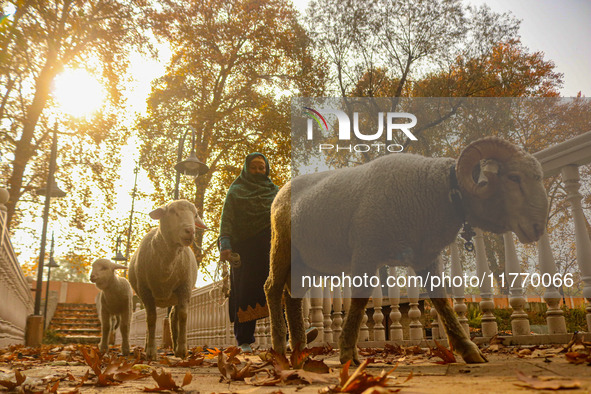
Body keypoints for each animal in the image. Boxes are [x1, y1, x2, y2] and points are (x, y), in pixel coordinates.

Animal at [128, 200, 207, 360]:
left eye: (195, 215)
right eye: (172, 212)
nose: (190, 231)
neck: (167, 267)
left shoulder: (184, 288)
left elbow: (183, 316)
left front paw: (182, 349)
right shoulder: (146, 291)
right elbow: (151, 319)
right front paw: (151, 351)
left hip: (175, 296)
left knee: (173, 316)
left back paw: (176, 347)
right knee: (150, 319)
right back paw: (147, 346)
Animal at [266, 137, 548, 364]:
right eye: (513, 177)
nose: (538, 227)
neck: (436, 191)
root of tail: (282, 191)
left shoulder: (427, 257)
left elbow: (441, 300)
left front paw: (468, 349)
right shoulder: (366, 249)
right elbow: (359, 300)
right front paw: (347, 353)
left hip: (308, 263)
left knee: (292, 297)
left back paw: (299, 350)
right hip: (282, 245)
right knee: (272, 288)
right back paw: (279, 348)